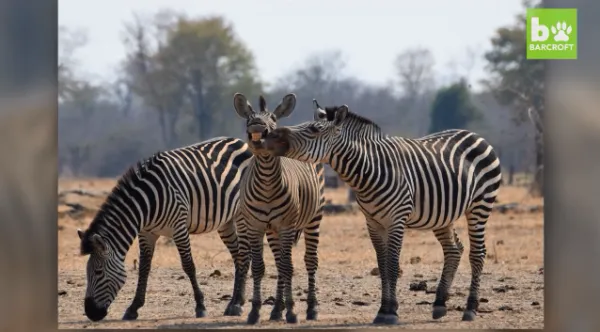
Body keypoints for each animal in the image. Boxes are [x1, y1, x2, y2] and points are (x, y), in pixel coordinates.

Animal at [75, 136, 253, 322]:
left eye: (98, 272)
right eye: (87, 272)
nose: (91, 313)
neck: (146, 204)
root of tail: (239, 141)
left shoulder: (179, 228)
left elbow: (188, 265)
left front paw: (200, 306)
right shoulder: (146, 233)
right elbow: (144, 268)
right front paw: (133, 308)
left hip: (242, 213)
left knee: (243, 254)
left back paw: (236, 304)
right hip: (226, 221)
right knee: (238, 256)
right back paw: (235, 301)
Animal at [231, 92, 324, 324]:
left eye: (272, 119)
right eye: (249, 118)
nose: (257, 126)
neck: (266, 183)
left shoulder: (287, 225)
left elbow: (288, 267)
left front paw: (291, 311)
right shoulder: (255, 226)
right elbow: (259, 267)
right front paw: (255, 311)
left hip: (314, 218)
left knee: (310, 260)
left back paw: (311, 308)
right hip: (272, 230)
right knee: (279, 261)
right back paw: (276, 310)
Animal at [264, 100, 504, 324]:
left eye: (314, 129)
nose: (271, 136)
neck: (370, 170)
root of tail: (474, 135)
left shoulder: (396, 220)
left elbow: (392, 264)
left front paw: (391, 312)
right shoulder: (373, 222)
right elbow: (382, 265)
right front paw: (384, 310)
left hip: (481, 205)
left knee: (477, 253)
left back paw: (470, 309)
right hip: (443, 215)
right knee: (454, 250)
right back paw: (439, 304)